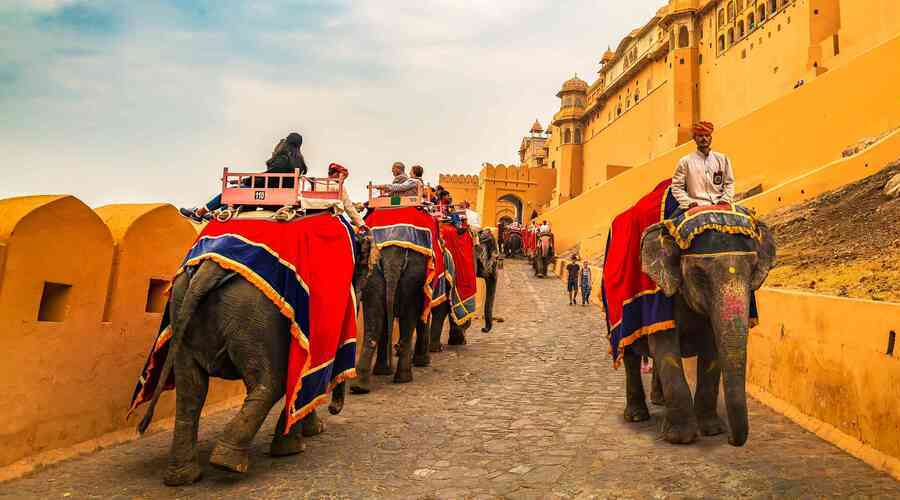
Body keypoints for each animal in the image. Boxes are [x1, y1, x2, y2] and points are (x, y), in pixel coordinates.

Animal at [134, 235, 372, 488]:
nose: (334, 409)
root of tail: (209, 268)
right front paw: (302, 441)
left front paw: (311, 431)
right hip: (255, 314)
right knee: (270, 384)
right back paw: (228, 463)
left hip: (184, 306)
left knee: (191, 390)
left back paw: (183, 477)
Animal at [624, 222, 780, 446]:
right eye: (699, 274)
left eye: (753, 271)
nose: (731, 439)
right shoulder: (659, 299)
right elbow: (665, 347)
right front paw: (679, 438)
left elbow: (712, 350)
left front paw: (712, 431)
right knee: (629, 356)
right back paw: (637, 416)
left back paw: (659, 401)